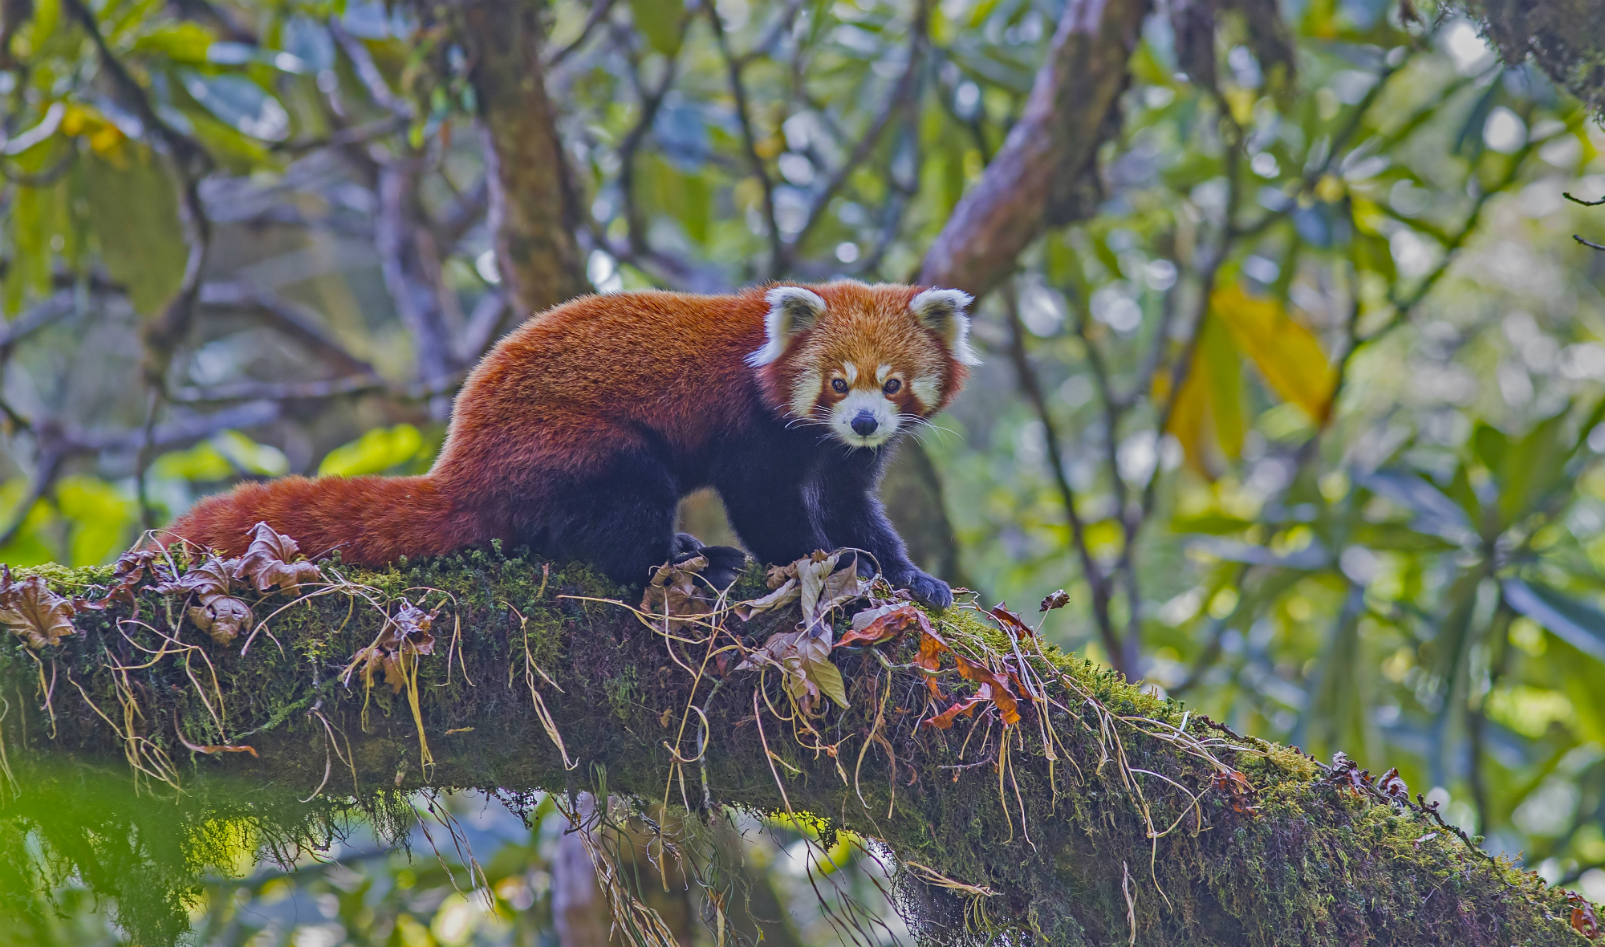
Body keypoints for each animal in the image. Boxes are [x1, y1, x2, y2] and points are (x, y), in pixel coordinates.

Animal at [172, 282, 975, 609]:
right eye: (837, 383)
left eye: (891, 386)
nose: (864, 422)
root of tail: (460, 462)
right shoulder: (755, 430)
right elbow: (768, 507)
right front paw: (826, 564)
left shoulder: (842, 459)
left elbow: (852, 506)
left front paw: (910, 576)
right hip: (576, 443)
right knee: (625, 508)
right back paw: (686, 558)